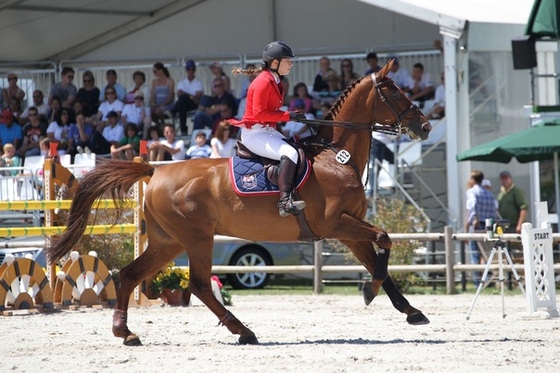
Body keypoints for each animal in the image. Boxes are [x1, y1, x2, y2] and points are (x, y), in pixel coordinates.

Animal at [48, 59, 434, 344]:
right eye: (394, 92)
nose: (426, 126)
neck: (336, 157)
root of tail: (155, 171)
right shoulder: (337, 224)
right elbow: (384, 241)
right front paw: (370, 293)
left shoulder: (349, 230)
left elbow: (381, 262)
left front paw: (411, 311)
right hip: (196, 238)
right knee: (199, 285)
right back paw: (243, 331)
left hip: (167, 241)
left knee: (130, 275)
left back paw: (126, 332)